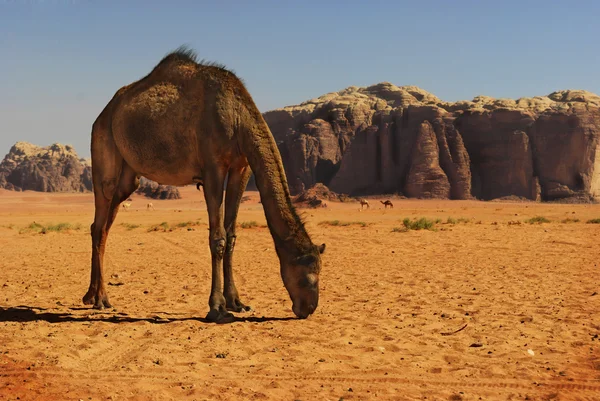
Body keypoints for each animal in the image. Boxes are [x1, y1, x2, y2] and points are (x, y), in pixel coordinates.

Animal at [84, 47, 324, 322]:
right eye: (306, 278)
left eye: (320, 274)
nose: (308, 308)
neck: (238, 117)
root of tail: (102, 116)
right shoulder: (213, 168)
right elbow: (218, 238)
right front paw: (217, 307)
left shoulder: (241, 167)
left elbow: (231, 236)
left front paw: (237, 302)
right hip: (104, 153)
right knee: (100, 220)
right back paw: (101, 299)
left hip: (128, 177)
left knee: (102, 226)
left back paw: (91, 296)